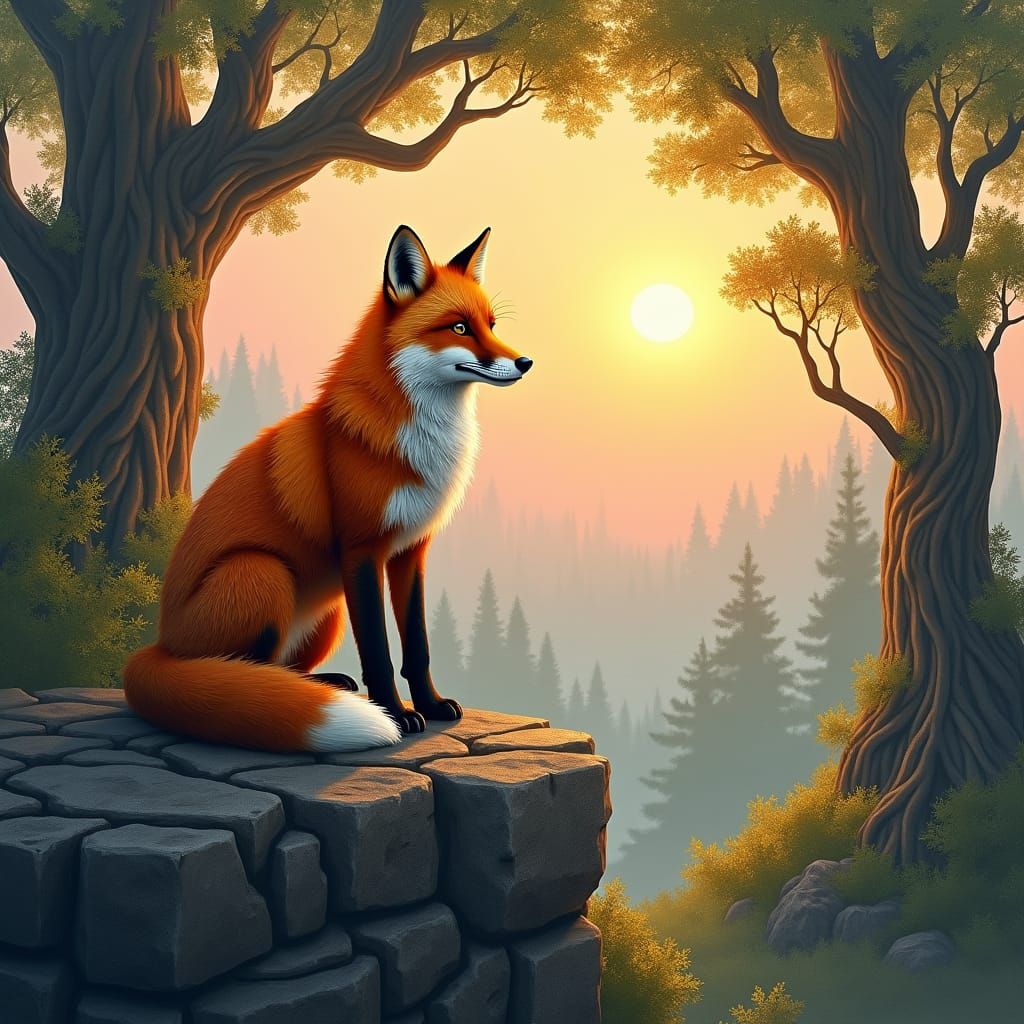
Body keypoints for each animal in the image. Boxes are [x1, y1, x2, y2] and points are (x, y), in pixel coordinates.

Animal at [124, 225, 532, 753]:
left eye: (491, 323)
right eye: (459, 328)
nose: (525, 361)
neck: (420, 444)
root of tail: (159, 644)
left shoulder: (411, 552)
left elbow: (417, 645)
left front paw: (432, 704)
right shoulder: (361, 550)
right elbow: (379, 651)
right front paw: (397, 715)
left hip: (328, 610)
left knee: (279, 668)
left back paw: (326, 684)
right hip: (263, 572)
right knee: (241, 672)